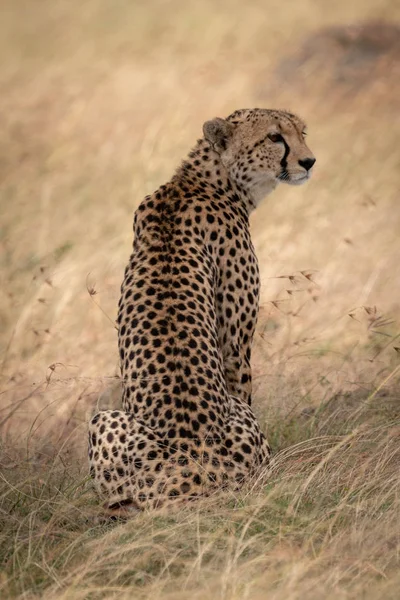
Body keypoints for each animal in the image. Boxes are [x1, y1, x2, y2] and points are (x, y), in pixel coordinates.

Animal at [88, 106, 316, 510]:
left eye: (301, 132)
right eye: (275, 137)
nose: (309, 161)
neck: (203, 180)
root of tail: (194, 466)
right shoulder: (236, 347)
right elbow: (241, 376)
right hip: (105, 418)